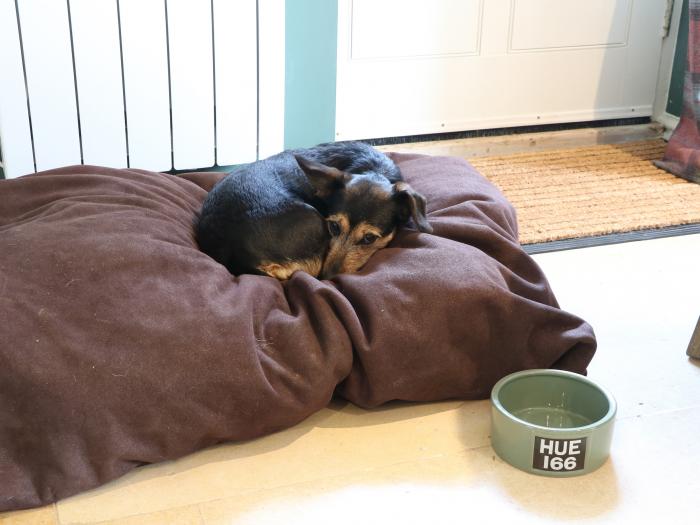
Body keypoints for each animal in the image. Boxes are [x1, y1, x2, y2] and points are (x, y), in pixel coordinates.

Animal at [193, 139, 432, 278]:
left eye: (368, 239)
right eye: (333, 227)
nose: (326, 278)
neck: (373, 168)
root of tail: (234, 255)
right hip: (312, 220)